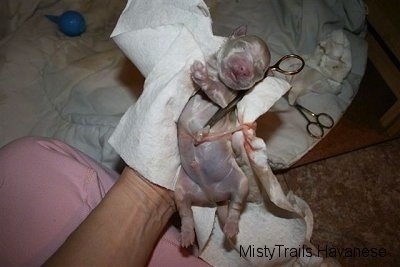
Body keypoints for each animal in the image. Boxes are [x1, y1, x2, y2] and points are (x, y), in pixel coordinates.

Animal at [174, 26, 270, 248]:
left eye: (260, 69)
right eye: (242, 45)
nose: (244, 69)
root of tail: (213, 197)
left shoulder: (227, 101)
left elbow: (218, 92)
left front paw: (202, 77)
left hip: (240, 183)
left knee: (236, 205)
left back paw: (232, 227)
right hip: (181, 188)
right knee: (185, 210)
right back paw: (187, 234)